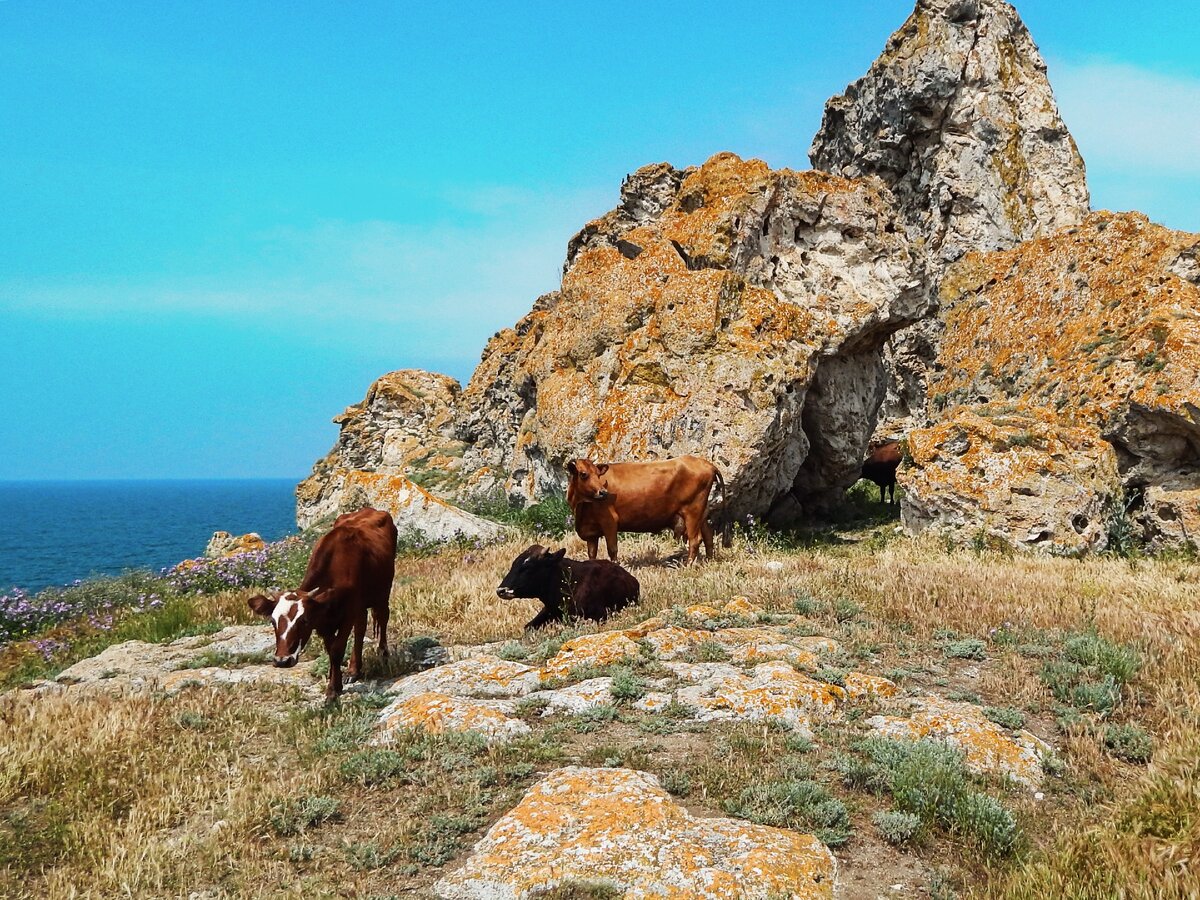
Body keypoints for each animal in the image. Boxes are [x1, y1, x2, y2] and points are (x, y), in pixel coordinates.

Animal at [248, 504, 398, 700]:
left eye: (303, 621)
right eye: (273, 621)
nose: (282, 660)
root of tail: (370, 509)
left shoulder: (347, 613)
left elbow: (337, 650)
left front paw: (333, 691)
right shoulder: (325, 620)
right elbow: (331, 650)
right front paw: (336, 682)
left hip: (383, 590)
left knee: (382, 617)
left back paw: (384, 655)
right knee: (361, 627)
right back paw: (353, 670)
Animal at [561, 458, 720, 564]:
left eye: (598, 474)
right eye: (583, 474)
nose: (603, 492)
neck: (581, 507)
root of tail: (706, 463)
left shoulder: (609, 520)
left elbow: (612, 548)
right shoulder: (591, 531)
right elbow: (592, 553)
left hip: (692, 512)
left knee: (695, 539)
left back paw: (688, 565)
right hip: (701, 513)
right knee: (708, 535)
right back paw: (709, 560)